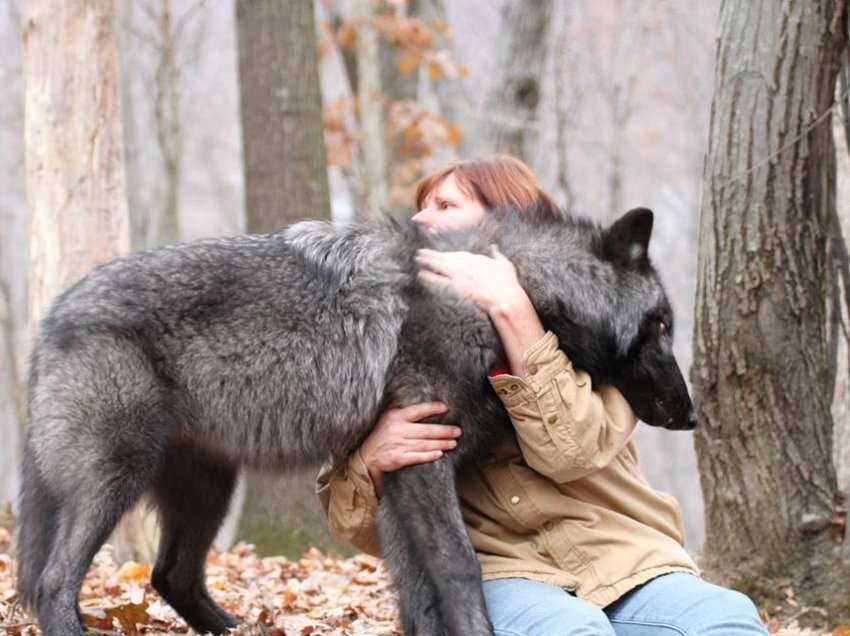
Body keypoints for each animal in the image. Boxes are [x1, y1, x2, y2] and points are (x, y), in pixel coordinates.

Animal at [16, 205, 696, 636]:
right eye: (661, 325)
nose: (691, 415)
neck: (503, 293)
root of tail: (49, 318)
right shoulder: (422, 462)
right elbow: (457, 568)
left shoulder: (398, 472)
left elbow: (417, 591)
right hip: (120, 477)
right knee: (54, 581)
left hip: (209, 487)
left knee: (171, 575)